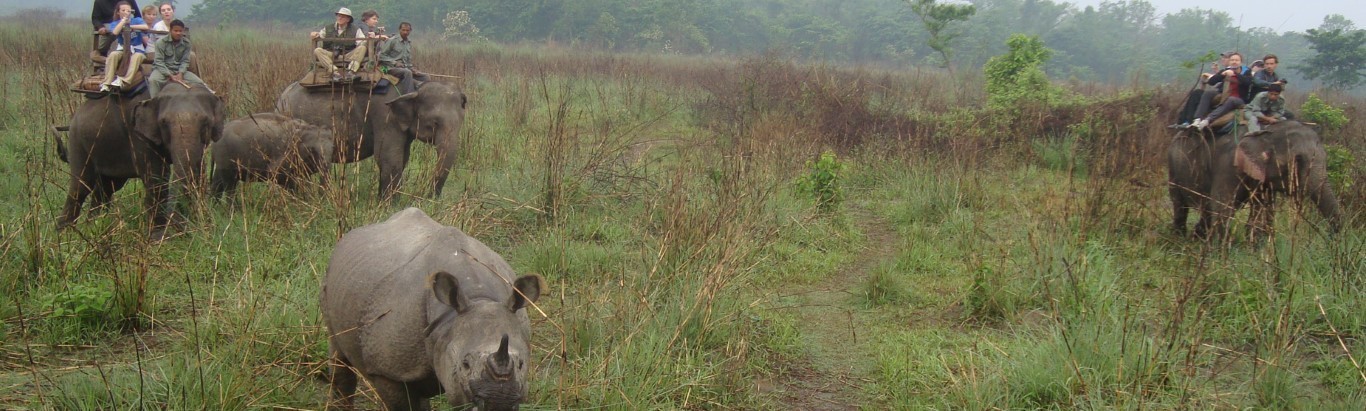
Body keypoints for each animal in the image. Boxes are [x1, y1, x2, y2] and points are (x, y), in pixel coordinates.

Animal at [56, 86, 226, 238]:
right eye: (163, 122)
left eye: (206, 122)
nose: (183, 230)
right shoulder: (138, 135)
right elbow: (157, 179)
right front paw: (159, 238)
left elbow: (198, 172)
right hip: (78, 142)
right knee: (81, 187)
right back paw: (65, 236)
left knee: (105, 189)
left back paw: (93, 229)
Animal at [277, 80, 469, 199]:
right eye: (435, 123)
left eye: (462, 121)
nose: (428, 198)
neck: (414, 87)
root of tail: (281, 97)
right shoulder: (384, 116)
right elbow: (389, 158)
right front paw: (389, 206)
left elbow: (401, 158)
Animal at [322, 207, 540, 409]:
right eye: (465, 364)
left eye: (521, 364)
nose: (499, 402)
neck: (477, 296)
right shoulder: (388, 372)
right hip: (332, 274)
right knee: (339, 354)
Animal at [1163, 119, 1344, 240]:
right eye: (1297, 160)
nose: (1330, 238)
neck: (1266, 130)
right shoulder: (1229, 165)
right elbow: (1222, 206)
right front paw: (1220, 256)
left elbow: (1262, 212)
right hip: (1173, 164)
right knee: (1180, 205)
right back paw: (1179, 240)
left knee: (1205, 211)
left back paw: (1196, 238)